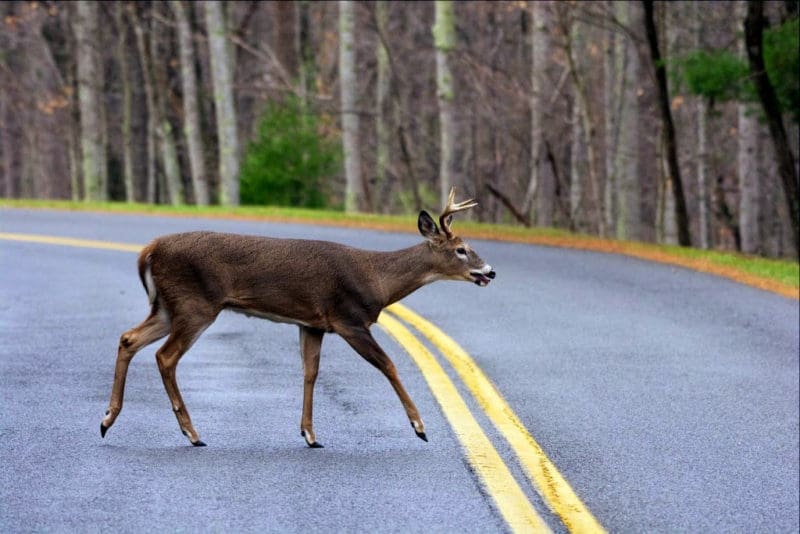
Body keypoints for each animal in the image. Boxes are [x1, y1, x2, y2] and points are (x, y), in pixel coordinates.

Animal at [100, 188, 495, 448]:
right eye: (462, 250)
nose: (490, 272)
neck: (378, 281)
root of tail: (149, 250)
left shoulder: (312, 324)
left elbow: (310, 373)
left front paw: (309, 434)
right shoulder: (349, 319)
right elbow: (388, 365)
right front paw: (419, 425)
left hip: (168, 307)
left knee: (128, 338)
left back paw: (108, 419)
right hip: (195, 304)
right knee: (165, 356)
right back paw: (191, 433)